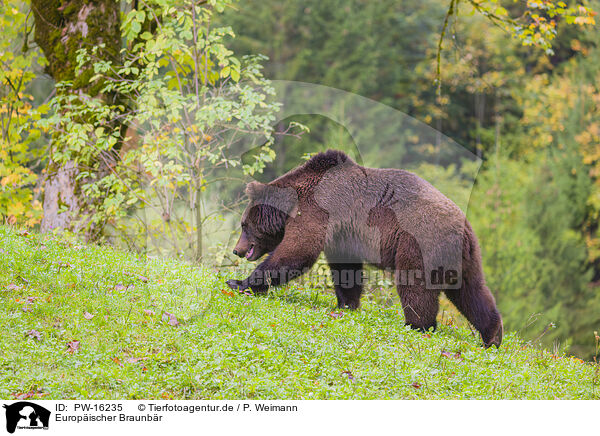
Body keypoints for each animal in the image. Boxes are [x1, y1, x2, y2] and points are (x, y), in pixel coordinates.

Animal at [227, 150, 504, 348]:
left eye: (244, 224)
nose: (237, 250)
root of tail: (462, 228)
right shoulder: (342, 235)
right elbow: (346, 269)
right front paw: (347, 303)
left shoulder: (319, 209)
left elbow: (298, 251)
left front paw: (240, 282)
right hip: (466, 257)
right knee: (471, 291)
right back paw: (492, 335)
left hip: (420, 242)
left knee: (415, 286)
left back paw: (417, 325)